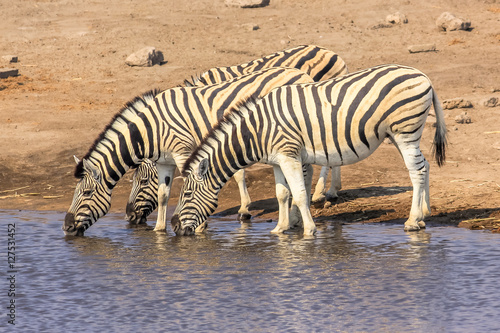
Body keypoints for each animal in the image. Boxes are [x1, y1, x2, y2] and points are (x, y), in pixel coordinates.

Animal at [62, 66, 312, 235]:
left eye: (86, 193)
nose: (66, 227)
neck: (152, 129)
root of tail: (300, 73)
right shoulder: (164, 161)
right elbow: (163, 195)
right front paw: (159, 230)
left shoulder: (184, 153)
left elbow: (193, 185)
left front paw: (199, 227)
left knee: (306, 175)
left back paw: (298, 216)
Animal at [125, 44, 350, 224]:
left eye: (142, 181)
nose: (129, 216)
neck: (194, 111)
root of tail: (330, 52)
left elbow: (237, 172)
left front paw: (244, 209)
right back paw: (332, 190)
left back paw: (320, 194)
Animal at [172, 65, 450, 236]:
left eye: (186, 195)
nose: (174, 228)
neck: (257, 131)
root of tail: (422, 75)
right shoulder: (277, 160)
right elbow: (282, 193)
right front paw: (280, 229)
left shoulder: (289, 155)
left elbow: (300, 194)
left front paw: (308, 230)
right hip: (400, 134)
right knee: (424, 166)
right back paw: (424, 214)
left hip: (405, 131)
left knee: (416, 172)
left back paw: (412, 221)